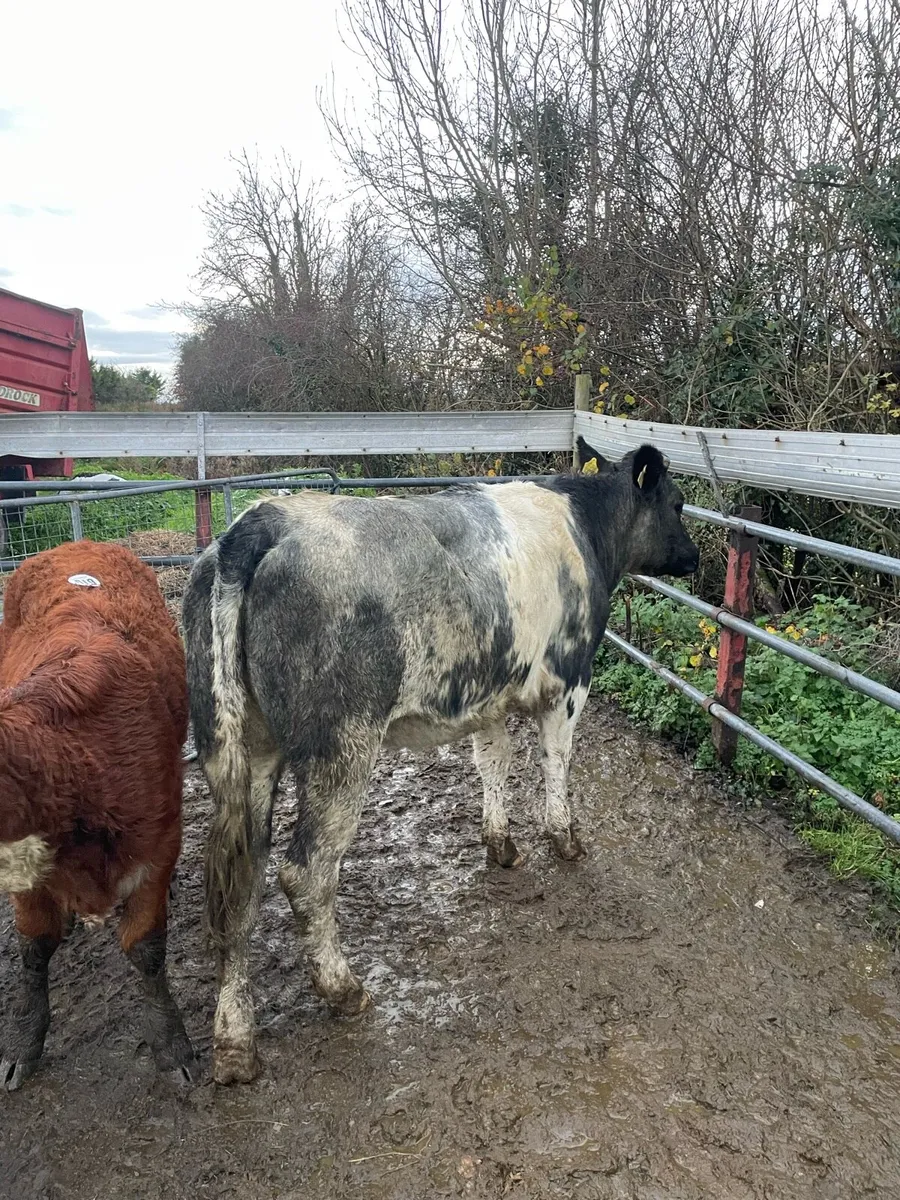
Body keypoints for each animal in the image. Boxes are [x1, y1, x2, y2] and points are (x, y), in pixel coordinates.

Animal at [0, 541, 196, 1090]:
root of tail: (76, 544)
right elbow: (33, 949)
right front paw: (23, 1042)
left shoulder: (157, 842)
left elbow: (146, 946)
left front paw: (170, 1044)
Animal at [183, 438, 699, 1084]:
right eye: (678, 503)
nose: (696, 558)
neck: (583, 524)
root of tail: (256, 524)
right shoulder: (569, 680)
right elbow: (556, 761)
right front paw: (565, 839)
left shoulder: (491, 694)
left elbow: (494, 763)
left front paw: (501, 844)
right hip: (340, 747)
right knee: (306, 872)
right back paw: (343, 990)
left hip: (242, 751)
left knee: (239, 880)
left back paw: (235, 1041)